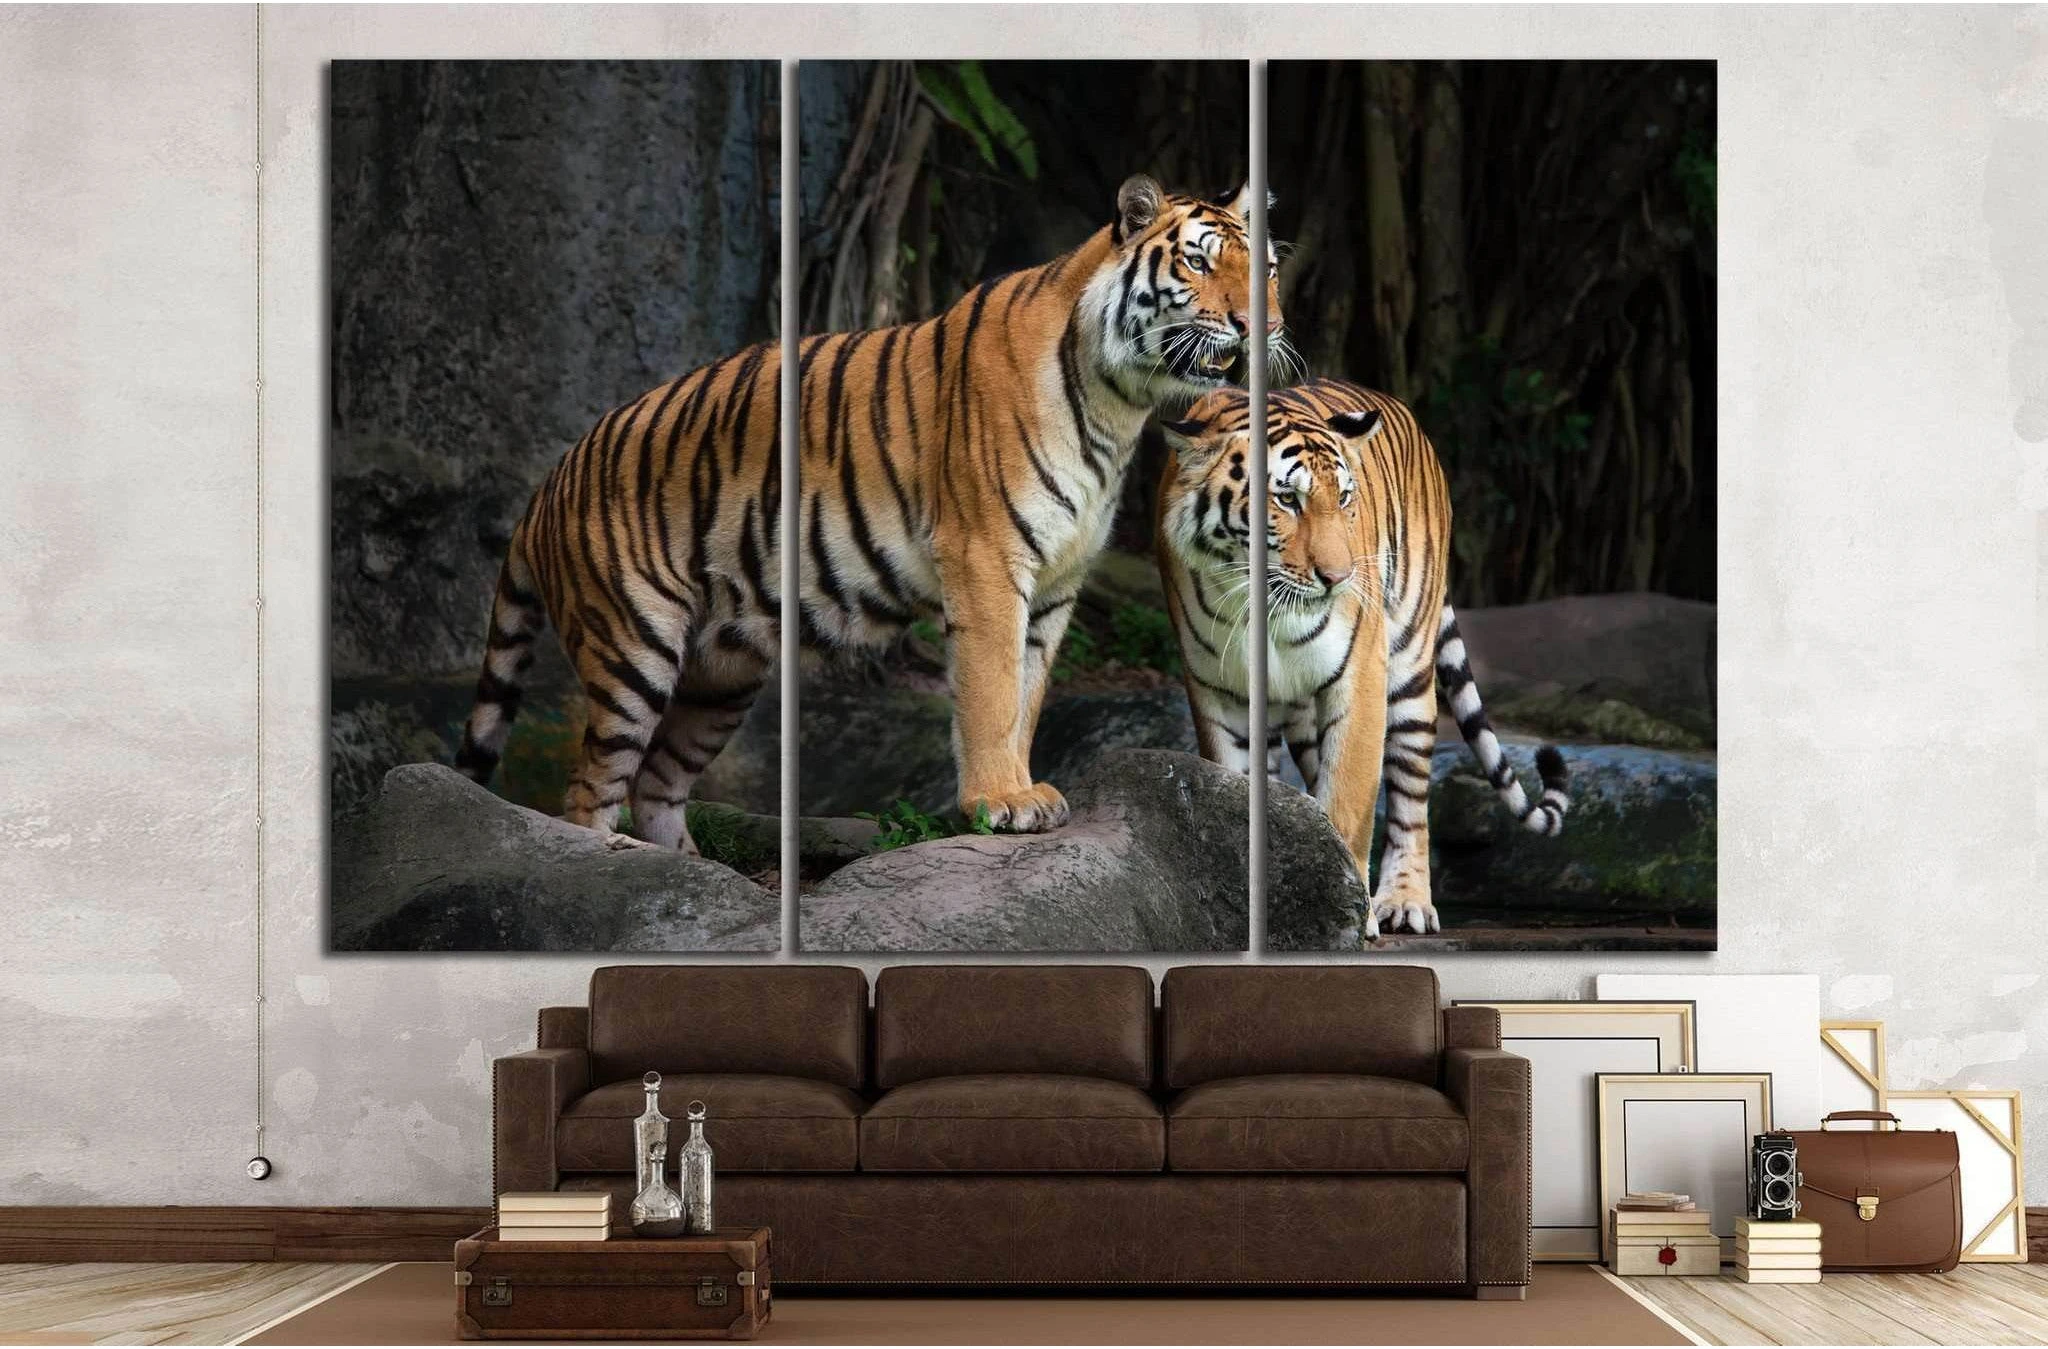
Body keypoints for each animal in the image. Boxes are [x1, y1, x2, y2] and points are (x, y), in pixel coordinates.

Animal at [454, 174, 1282, 852]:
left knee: (658, 781)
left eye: (1266, 268)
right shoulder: (987, 557)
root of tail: (550, 479)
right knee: (589, 791)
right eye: (1199, 263)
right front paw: (999, 801)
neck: (1121, 402)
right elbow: (990, 688)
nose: (1262, 326)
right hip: (634, 645)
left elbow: (1028, 693)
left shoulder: (1056, 582)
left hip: (723, 671)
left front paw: (1023, 787)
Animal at [1155, 377, 1570, 938]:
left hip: (1409, 671)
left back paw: (1406, 902)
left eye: (1344, 497)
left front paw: (1347, 916)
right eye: (1286, 499)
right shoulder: (1218, 692)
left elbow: (1348, 804)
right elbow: (1236, 794)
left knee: (1409, 799)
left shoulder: (1358, 678)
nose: (1339, 577)